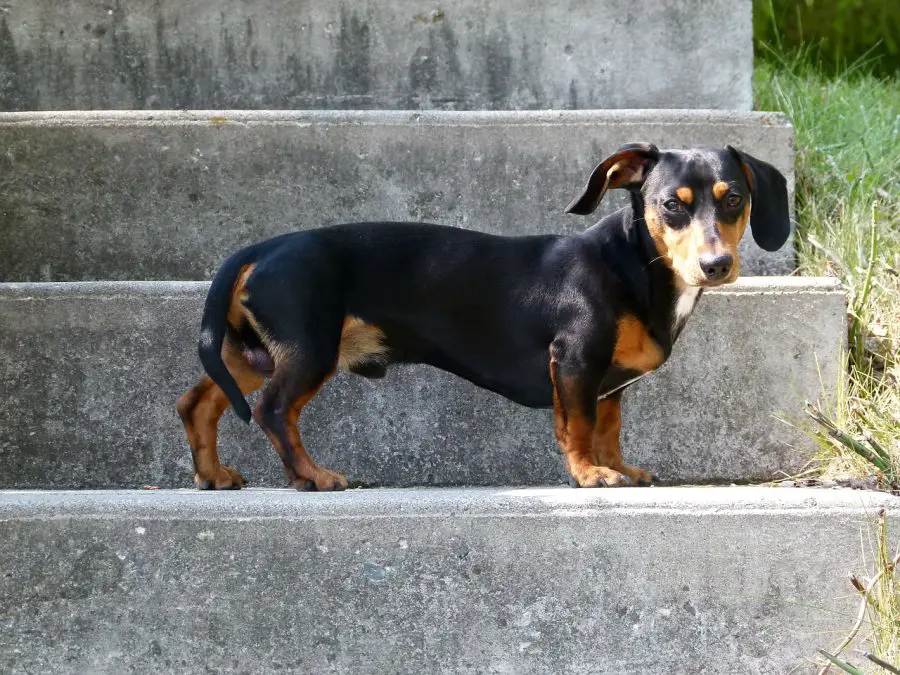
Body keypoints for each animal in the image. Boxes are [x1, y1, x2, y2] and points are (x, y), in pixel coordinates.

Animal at [178, 144, 788, 492]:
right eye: (671, 205)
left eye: (734, 199)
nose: (716, 265)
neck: (634, 263)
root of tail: (261, 248)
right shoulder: (575, 359)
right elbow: (580, 426)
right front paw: (589, 474)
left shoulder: (608, 381)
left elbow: (608, 427)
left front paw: (620, 467)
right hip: (308, 349)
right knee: (273, 411)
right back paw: (310, 476)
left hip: (252, 352)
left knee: (198, 403)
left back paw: (213, 475)